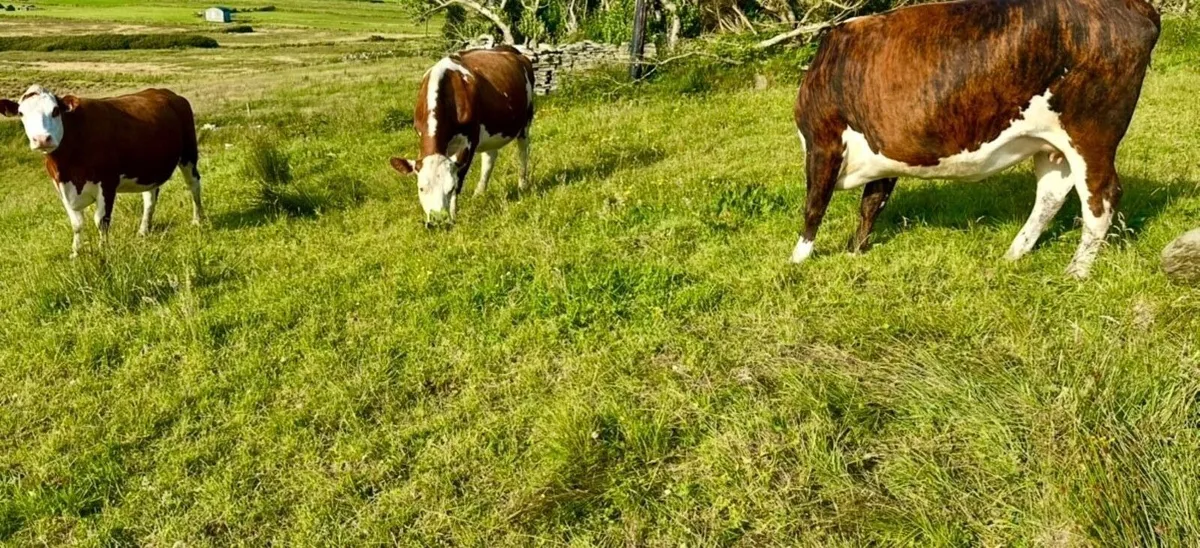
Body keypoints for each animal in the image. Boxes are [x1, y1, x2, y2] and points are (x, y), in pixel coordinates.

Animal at [1, 86, 204, 257]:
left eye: (55, 110)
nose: (42, 139)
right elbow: (76, 224)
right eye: (21, 113)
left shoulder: (107, 183)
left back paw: (198, 220)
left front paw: (103, 250)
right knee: (150, 198)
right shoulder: (61, 188)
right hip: (149, 169)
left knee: (194, 184)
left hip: (188, 154)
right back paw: (143, 230)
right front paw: (76, 253)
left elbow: (101, 221)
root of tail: (167, 93)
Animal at [389, 45, 534, 224]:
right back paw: (479, 192)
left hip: (525, 121)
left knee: (523, 152)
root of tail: (510, 49)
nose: (438, 219)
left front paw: (453, 215)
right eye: (421, 188)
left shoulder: (469, 142)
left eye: (450, 188)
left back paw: (522, 184)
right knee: (490, 156)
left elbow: (460, 178)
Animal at [792, 0, 1161, 278]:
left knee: (1101, 198)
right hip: (1053, 145)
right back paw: (1014, 253)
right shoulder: (883, 154)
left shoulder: (822, 141)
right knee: (1051, 195)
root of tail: (1137, 6)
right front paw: (855, 252)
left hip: (1091, 134)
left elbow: (814, 205)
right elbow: (871, 205)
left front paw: (798, 259)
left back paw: (1077, 272)